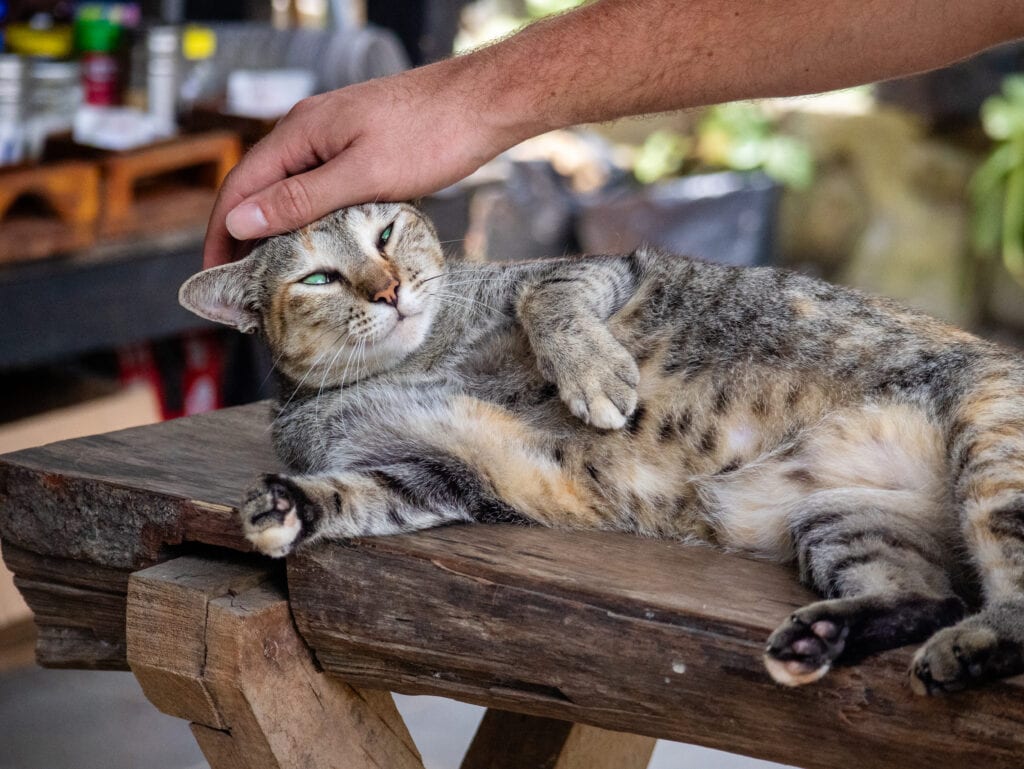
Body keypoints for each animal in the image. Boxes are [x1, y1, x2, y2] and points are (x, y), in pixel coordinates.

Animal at [180, 201, 1024, 696]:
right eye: (319, 277)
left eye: (385, 234)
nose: (387, 289)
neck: (421, 359)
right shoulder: (441, 470)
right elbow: (357, 493)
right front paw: (286, 506)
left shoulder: (593, 269)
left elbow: (544, 298)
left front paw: (593, 377)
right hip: (844, 518)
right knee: (930, 596)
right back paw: (826, 637)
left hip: (991, 447)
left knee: (1006, 602)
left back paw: (970, 646)